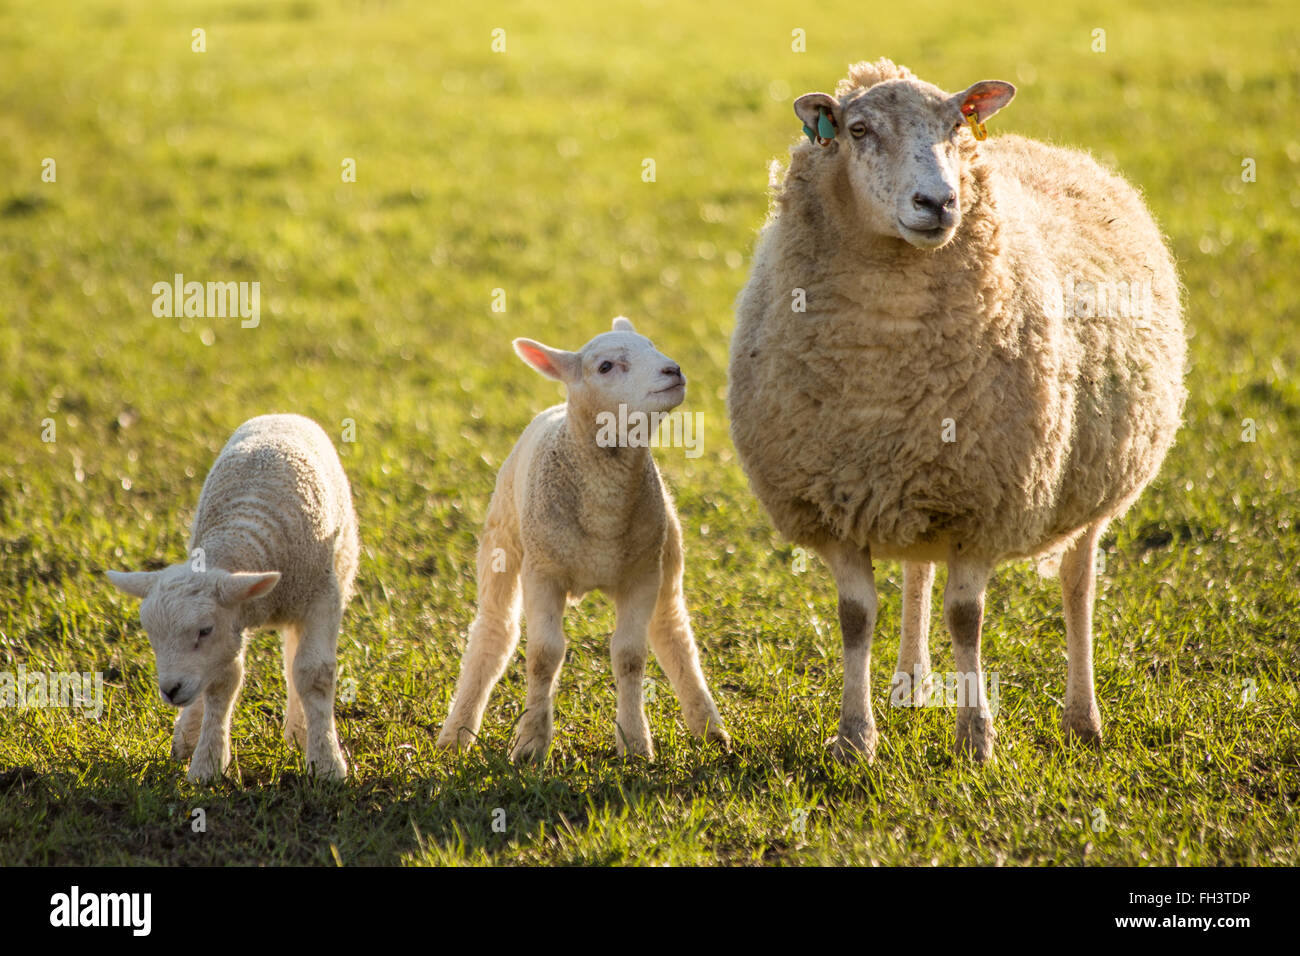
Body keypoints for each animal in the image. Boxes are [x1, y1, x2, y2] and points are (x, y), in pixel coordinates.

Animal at [105, 416, 358, 780]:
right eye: (151, 636)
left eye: (204, 630)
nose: (170, 690)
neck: (243, 531)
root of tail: (283, 414)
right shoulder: (230, 622)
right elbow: (221, 681)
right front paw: (207, 762)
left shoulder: (322, 597)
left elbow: (314, 673)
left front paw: (326, 763)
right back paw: (188, 733)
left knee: (293, 657)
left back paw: (299, 731)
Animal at [439, 319, 733, 764]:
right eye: (606, 366)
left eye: (651, 345)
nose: (673, 370)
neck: (603, 513)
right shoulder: (542, 572)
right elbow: (544, 656)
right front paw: (530, 744)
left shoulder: (642, 574)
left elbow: (630, 657)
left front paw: (635, 743)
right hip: (504, 539)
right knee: (494, 631)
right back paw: (456, 734)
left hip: (667, 549)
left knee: (672, 631)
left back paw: (708, 726)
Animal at [733, 57, 1190, 764]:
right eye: (858, 130)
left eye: (954, 126)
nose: (939, 202)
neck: (885, 368)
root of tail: (1054, 149)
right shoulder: (838, 502)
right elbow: (855, 618)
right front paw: (854, 740)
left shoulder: (988, 502)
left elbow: (965, 619)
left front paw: (976, 740)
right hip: (917, 483)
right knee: (919, 567)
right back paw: (911, 682)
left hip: (1092, 479)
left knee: (1078, 584)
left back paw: (1082, 718)